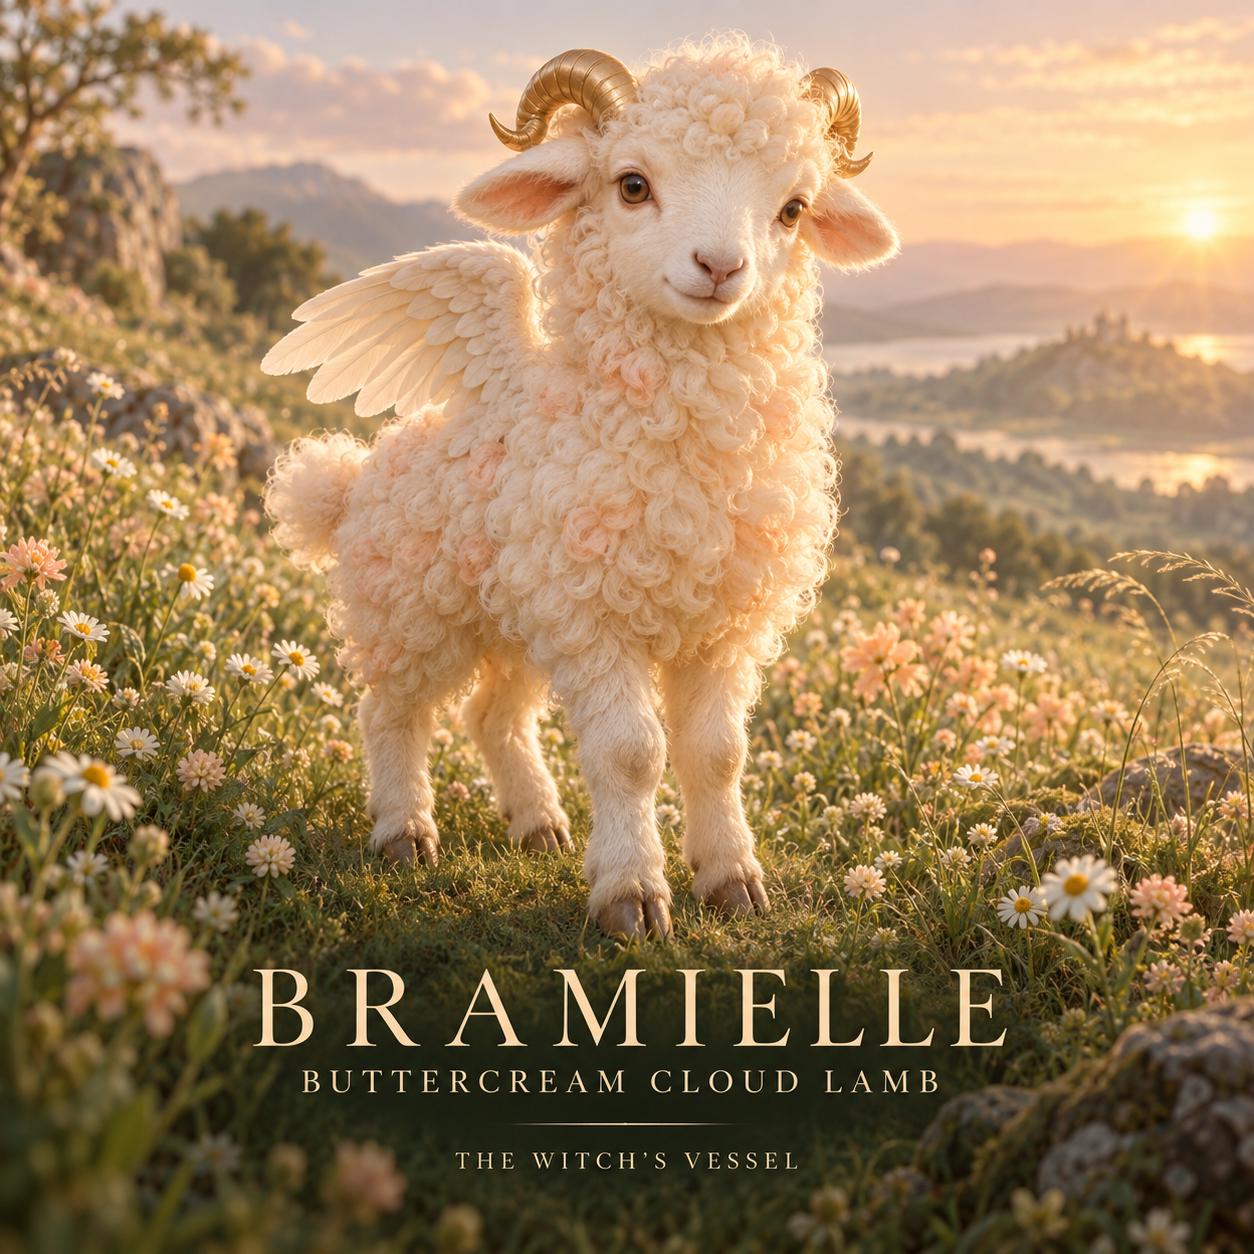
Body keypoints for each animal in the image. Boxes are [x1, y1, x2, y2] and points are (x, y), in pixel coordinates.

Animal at [262, 35, 899, 939]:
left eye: (793, 209)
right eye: (632, 184)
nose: (720, 267)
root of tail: (351, 479)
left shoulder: (722, 626)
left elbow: (717, 754)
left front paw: (732, 879)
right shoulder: (594, 615)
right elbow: (632, 753)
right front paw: (632, 895)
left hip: (518, 624)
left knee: (491, 717)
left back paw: (539, 824)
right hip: (412, 611)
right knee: (392, 713)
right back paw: (404, 830)